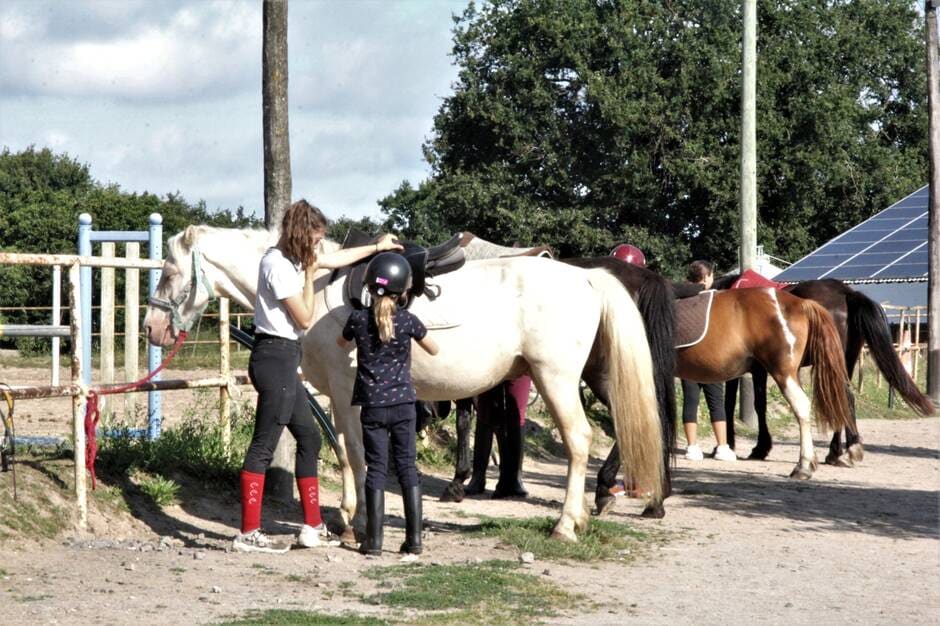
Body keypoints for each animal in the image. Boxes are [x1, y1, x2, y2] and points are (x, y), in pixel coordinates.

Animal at [145, 225, 660, 540]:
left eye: (169, 272)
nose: (151, 327)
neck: (315, 289)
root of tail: (588, 278)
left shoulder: (347, 393)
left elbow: (354, 454)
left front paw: (356, 523)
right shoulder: (340, 398)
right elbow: (343, 454)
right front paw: (347, 517)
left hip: (558, 380)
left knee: (580, 440)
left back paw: (567, 523)